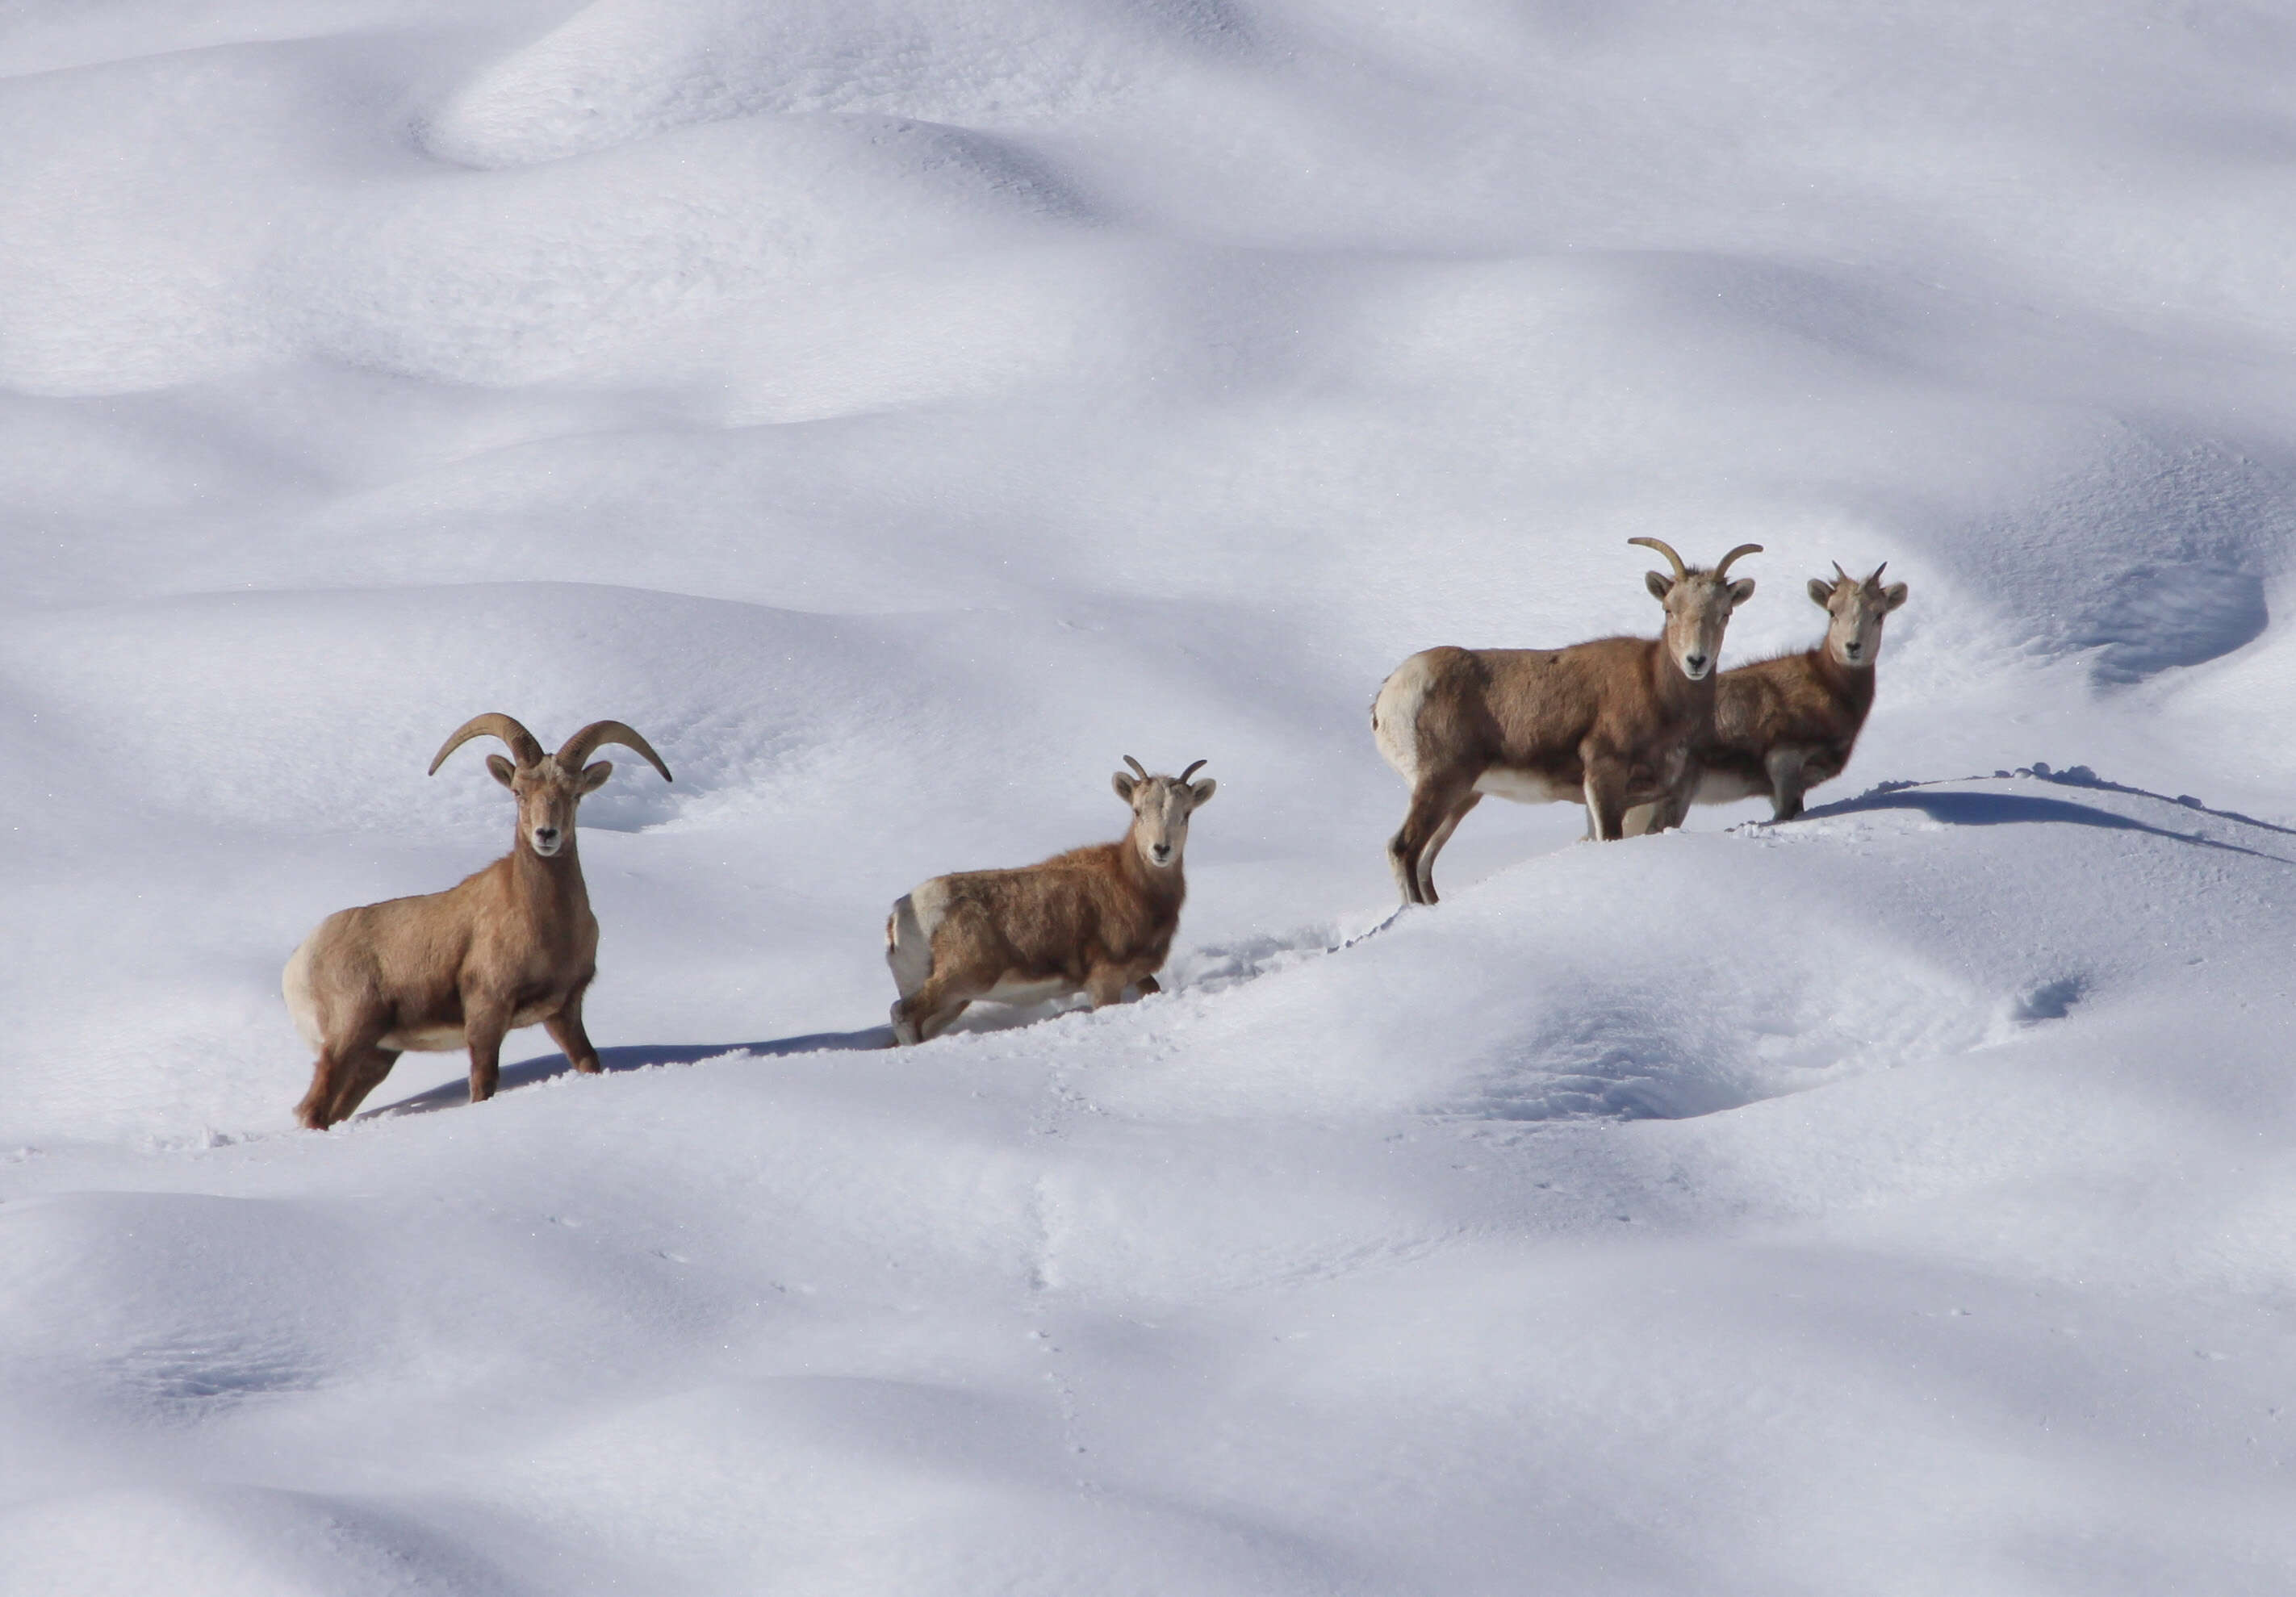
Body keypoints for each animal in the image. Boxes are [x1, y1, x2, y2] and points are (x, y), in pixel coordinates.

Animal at [280, 716, 670, 1128]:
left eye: (575, 794)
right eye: (518, 792)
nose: (546, 835)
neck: (544, 924)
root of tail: (300, 960)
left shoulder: (563, 1013)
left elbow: (588, 1061)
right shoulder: (487, 1013)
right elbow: (483, 1084)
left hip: (375, 1057)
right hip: (349, 1036)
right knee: (312, 1108)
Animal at [876, 762, 1212, 1046]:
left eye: (1186, 814)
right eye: (1138, 810)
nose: (1161, 849)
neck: (1134, 887)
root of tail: (900, 917)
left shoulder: (1138, 976)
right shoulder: (1105, 982)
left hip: (952, 1000)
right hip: (959, 980)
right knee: (902, 1013)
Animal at [1368, 543, 1763, 904]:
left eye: (1724, 613)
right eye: (1670, 609)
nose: (1696, 661)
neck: (1658, 689)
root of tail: (1390, 693)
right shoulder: (1604, 774)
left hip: (1462, 797)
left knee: (1424, 862)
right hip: (1440, 784)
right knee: (1403, 850)